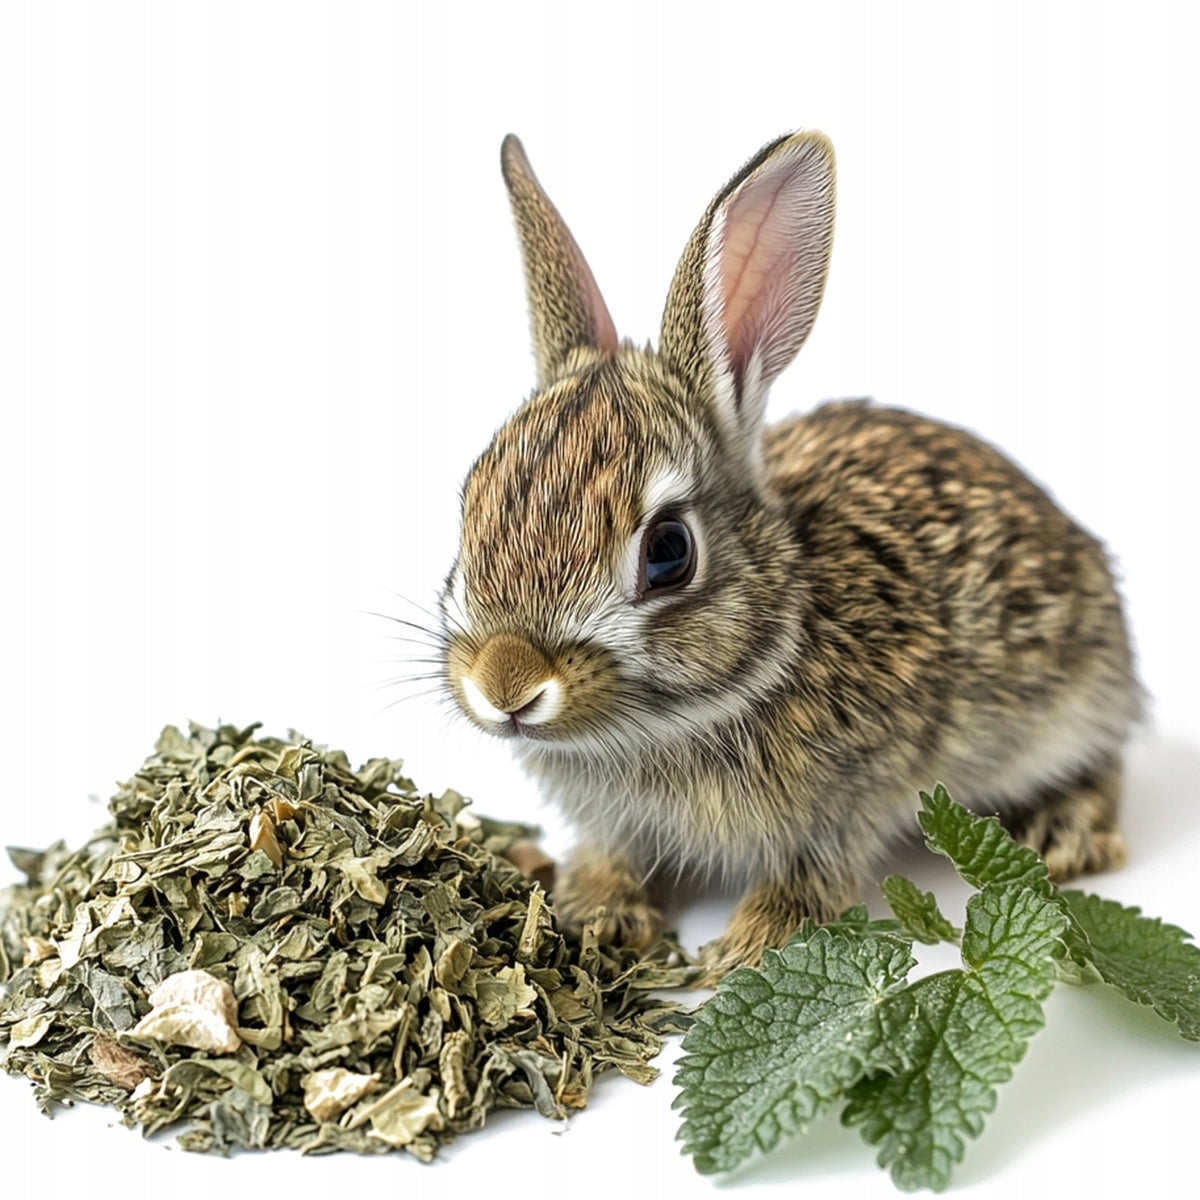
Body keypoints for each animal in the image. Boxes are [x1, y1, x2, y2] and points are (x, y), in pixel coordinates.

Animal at [437, 130, 1140, 980]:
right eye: (468, 507)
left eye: (668, 552)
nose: (505, 685)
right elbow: (614, 855)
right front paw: (595, 915)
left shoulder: (851, 801)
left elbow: (812, 877)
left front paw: (746, 950)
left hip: (1071, 698)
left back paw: (1064, 830)